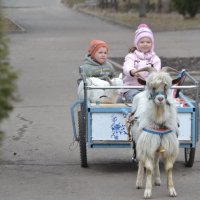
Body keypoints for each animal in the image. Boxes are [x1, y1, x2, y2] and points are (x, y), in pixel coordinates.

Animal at [130, 67, 180, 198]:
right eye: (152, 86)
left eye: (166, 86)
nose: (160, 99)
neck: (159, 120)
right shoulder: (147, 144)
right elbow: (148, 168)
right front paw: (147, 191)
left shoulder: (169, 146)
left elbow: (169, 168)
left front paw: (172, 190)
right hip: (138, 141)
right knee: (141, 161)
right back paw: (139, 182)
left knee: (156, 160)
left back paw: (157, 180)